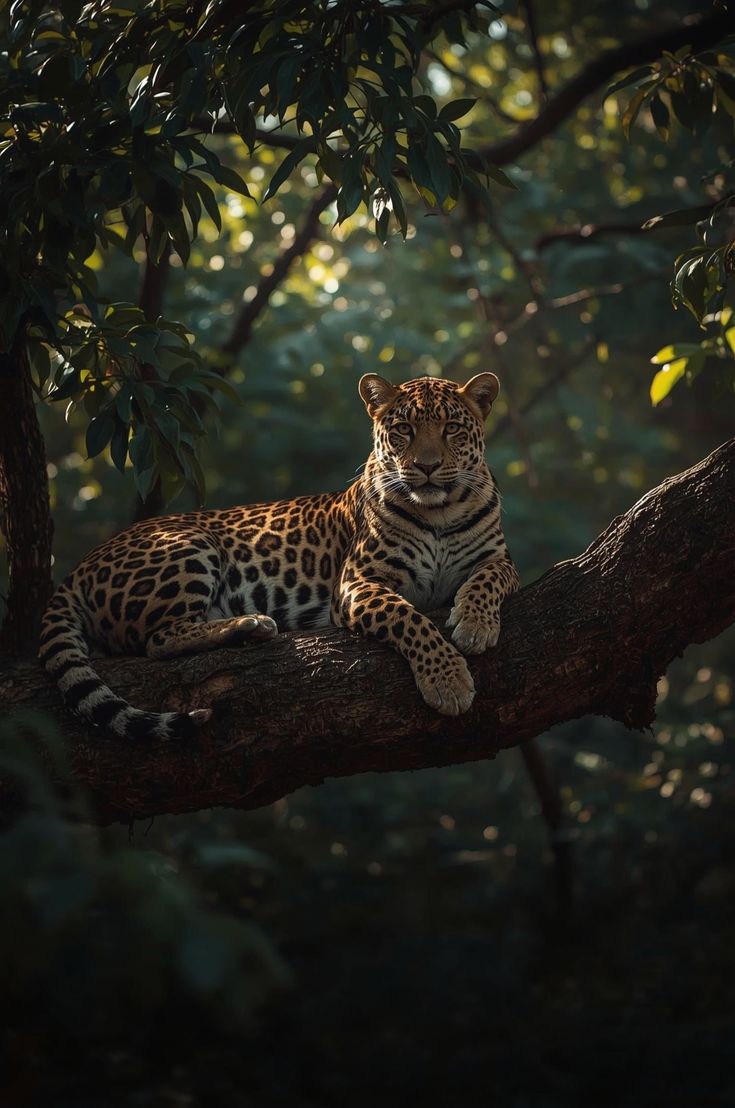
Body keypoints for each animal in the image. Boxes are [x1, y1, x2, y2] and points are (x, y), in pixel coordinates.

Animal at [39, 372, 520, 740]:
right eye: (403, 429)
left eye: (451, 428)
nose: (426, 466)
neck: (438, 510)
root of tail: (80, 566)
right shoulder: (358, 582)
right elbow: (409, 619)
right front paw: (448, 681)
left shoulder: (500, 560)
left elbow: (485, 580)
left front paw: (475, 625)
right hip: (189, 543)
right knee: (157, 639)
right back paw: (251, 624)